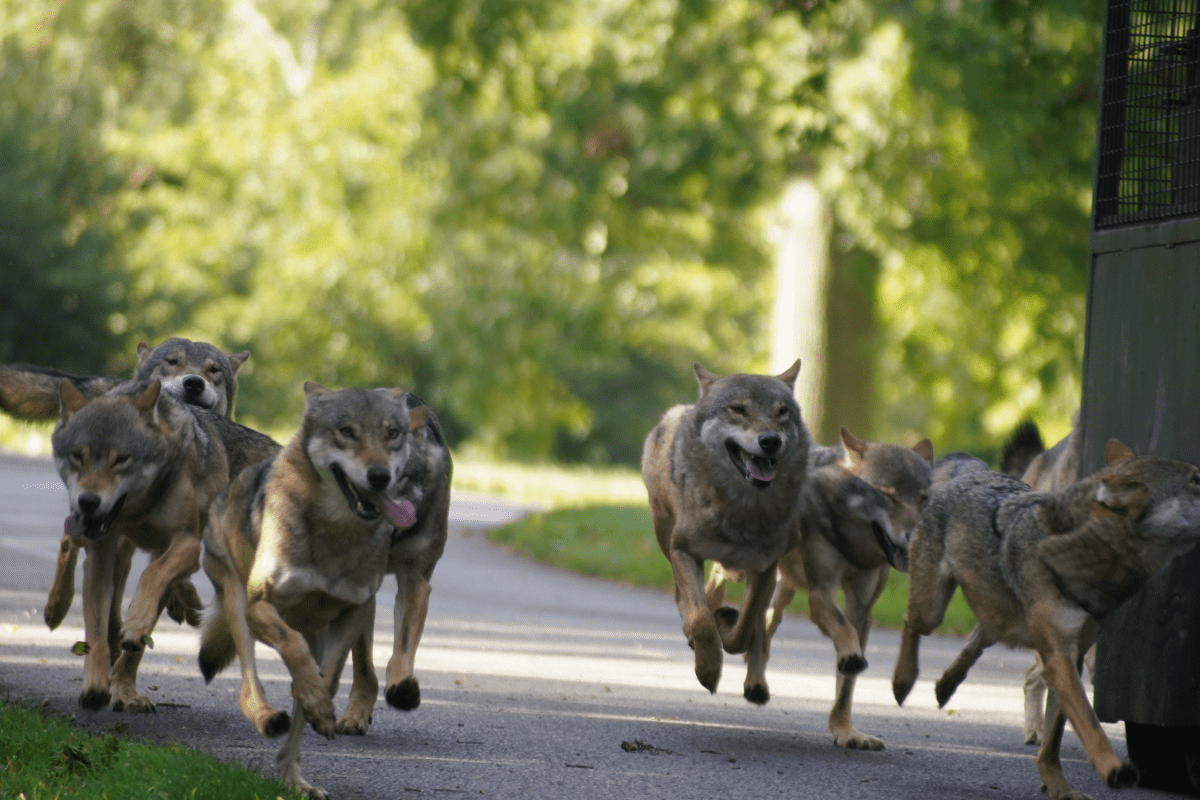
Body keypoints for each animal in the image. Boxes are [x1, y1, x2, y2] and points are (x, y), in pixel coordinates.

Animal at [51, 378, 277, 712]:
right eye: (78, 456)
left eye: (122, 459)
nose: (88, 501)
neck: (139, 509)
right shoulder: (101, 556)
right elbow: (96, 629)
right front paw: (95, 685)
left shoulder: (189, 543)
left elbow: (151, 578)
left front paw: (135, 630)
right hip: (94, 538)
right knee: (69, 538)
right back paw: (55, 608)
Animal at [197, 383, 428, 798]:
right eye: (347, 431)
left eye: (392, 433)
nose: (380, 476)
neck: (336, 532)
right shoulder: (260, 607)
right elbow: (292, 648)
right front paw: (314, 702)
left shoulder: (354, 612)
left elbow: (329, 677)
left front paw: (320, 708)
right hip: (238, 605)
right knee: (249, 685)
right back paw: (267, 717)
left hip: (320, 631)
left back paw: (295, 780)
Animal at [642, 360, 807, 703]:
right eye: (738, 409)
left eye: (782, 412)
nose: (771, 440)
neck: (740, 510)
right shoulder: (683, 551)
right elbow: (701, 619)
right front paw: (707, 669)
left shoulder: (765, 569)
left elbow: (746, 629)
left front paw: (729, 629)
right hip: (666, 538)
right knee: (684, 598)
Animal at [891, 441, 1200, 800]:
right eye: (1196, 480)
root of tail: (969, 474)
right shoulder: (1058, 658)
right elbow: (1090, 724)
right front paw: (1113, 769)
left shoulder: (1072, 657)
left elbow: (1054, 740)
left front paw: (1059, 788)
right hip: (931, 611)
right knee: (909, 622)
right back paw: (902, 682)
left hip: (1000, 619)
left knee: (977, 638)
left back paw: (945, 686)